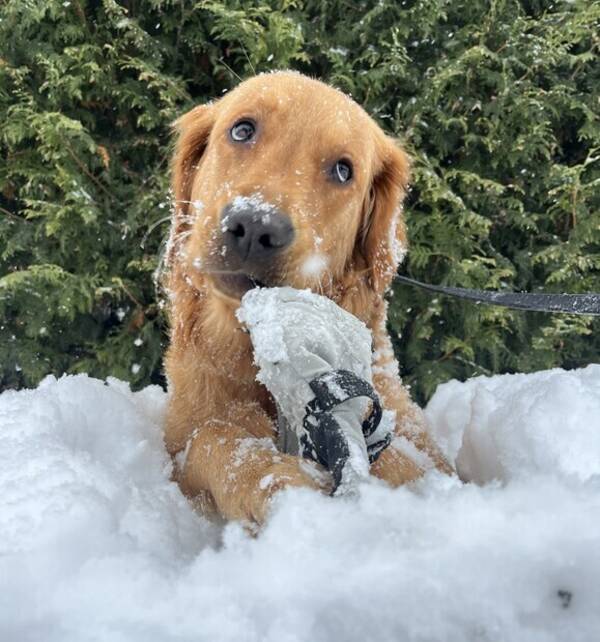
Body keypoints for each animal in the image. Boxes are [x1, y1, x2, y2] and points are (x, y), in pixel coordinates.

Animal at [162, 71, 452, 524]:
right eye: (242, 130)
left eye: (343, 170)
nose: (255, 225)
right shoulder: (179, 439)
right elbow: (214, 434)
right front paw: (275, 481)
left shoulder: (409, 432)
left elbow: (404, 460)